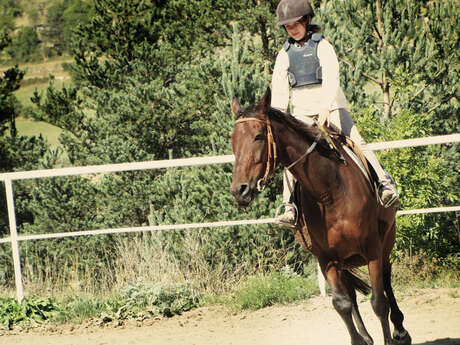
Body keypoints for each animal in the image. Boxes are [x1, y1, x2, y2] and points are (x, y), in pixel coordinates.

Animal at [230, 88, 414, 344]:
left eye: (258, 136)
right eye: (233, 141)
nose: (240, 190)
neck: (328, 191)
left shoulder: (372, 249)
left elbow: (379, 302)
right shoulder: (326, 258)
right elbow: (342, 303)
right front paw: (359, 340)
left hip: (385, 241)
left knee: (386, 280)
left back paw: (400, 331)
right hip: (343, 260)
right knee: (352, 295)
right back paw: (368, 336)